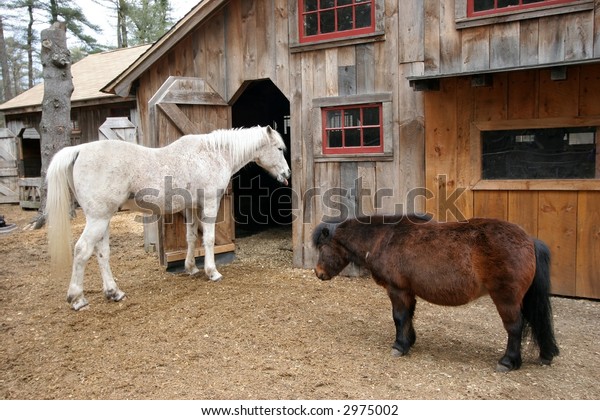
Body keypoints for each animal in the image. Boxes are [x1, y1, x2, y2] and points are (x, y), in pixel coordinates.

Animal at [47, 124, 290, 308]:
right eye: (279, 148)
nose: (287, 173)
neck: (211, 154)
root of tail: (79, 150)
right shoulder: (209, 204)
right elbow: (209, 239)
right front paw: (212, 272)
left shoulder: (191, 207)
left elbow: (191, 237)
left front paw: (191, 268)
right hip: (98, 219)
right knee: (82, 250)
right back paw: (77, 298)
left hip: (104, 219)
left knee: (101, 253)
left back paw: (114, 292)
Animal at [312, 215, 560, 372]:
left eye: (323, 248)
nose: (318, 273)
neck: (384, 237)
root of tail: (529, 240)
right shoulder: (408, 291)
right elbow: (408, 317)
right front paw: (409, 341)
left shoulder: (397, 290)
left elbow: (399, 317)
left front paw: (399, 346)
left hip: (506, 299)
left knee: (515, 328)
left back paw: (508, 361)